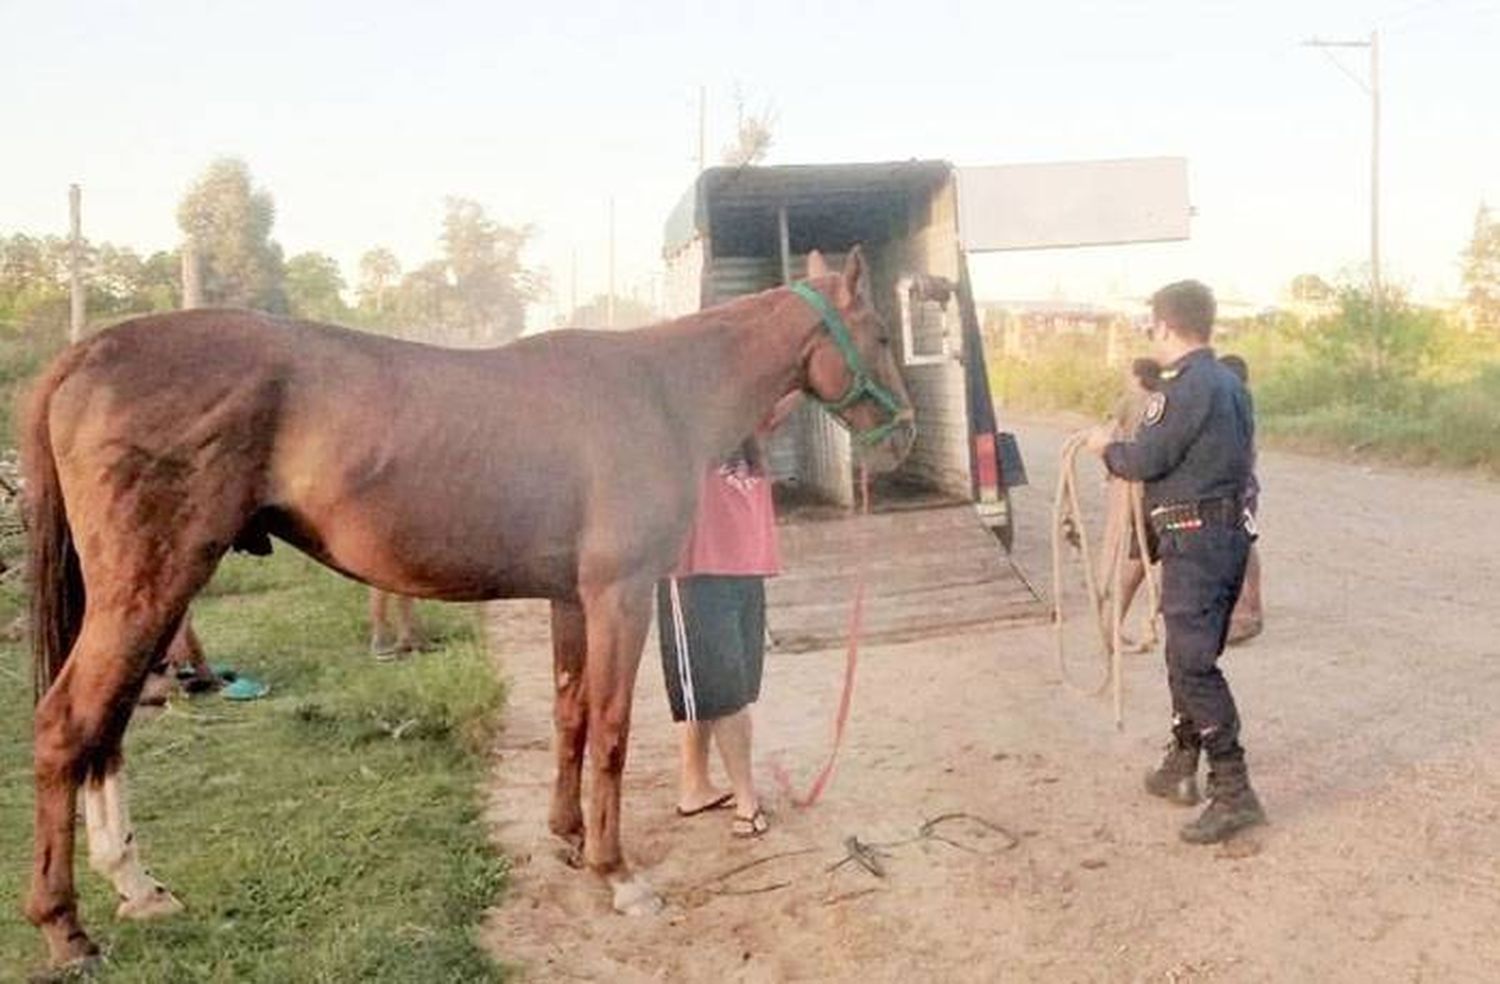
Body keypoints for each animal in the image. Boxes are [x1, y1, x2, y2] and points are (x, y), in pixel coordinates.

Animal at [20, 246, 912, 966]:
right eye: (881, 335)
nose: (902, 438)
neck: (659, 393)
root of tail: (87, 351)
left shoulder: (571, 600)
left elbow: (571, 715)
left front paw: (568, 838)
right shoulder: (620, 595)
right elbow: (613, 731)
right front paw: (617, 873)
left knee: (108, 730)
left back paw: (139, 888)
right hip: (150, 588)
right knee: (69, 725)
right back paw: (67, 928)